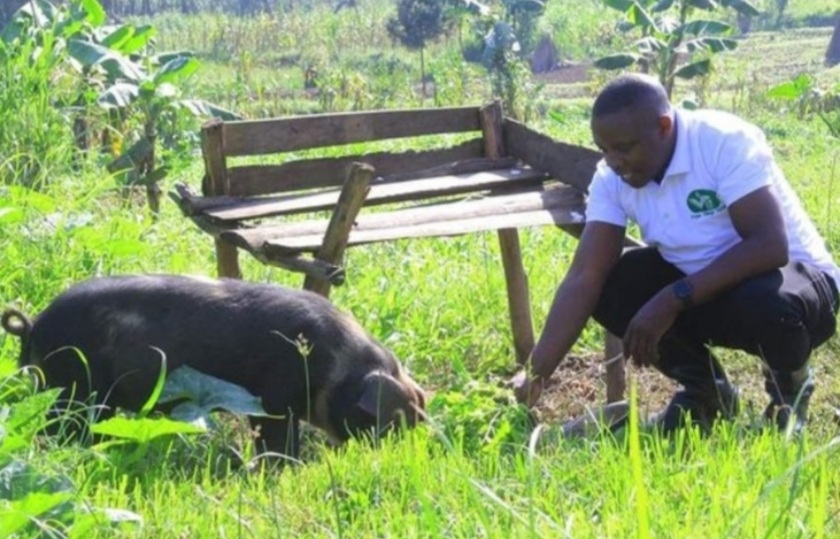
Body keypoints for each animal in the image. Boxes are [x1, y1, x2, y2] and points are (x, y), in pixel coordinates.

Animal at [3, 274, 426, 460]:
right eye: (387, 419)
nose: (395, 456)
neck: (334, 363)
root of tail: (33, 324)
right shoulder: (274, 400)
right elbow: (276, 441)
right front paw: (282, 468)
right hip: (72, 392)